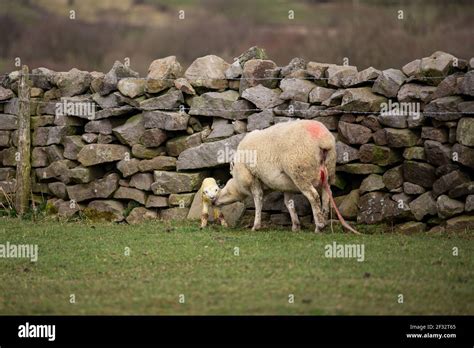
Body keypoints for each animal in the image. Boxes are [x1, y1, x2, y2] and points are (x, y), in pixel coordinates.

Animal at [216, 118, 360, 235]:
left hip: (299, 172)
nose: (214, 201)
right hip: (328, 172)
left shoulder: (253, 177)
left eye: (225, 191)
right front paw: (296, 226)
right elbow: (288, 203)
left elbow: (258, 199)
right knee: (326, 197)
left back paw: (319, 226)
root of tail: (323, 140)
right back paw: (323, 220)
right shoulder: (285, 185)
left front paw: (256, 226)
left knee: (313, 196)